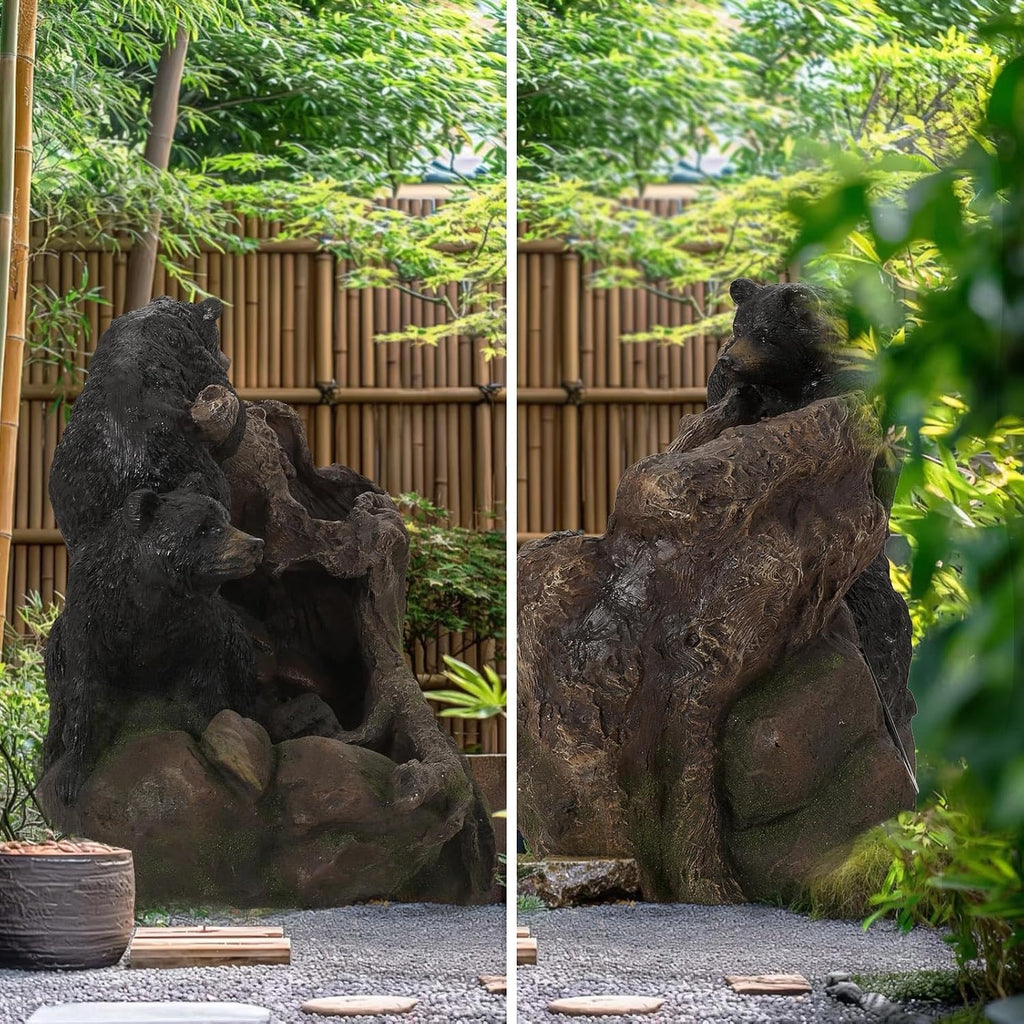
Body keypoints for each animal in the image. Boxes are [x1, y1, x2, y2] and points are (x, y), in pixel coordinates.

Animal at [42, 487, 264, 804]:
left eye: (226, 519)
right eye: (205, 527)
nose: (255, 544)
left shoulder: (200, 631)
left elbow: (207, 691)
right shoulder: (91, 621)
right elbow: (83, 689)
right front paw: (69, 777)